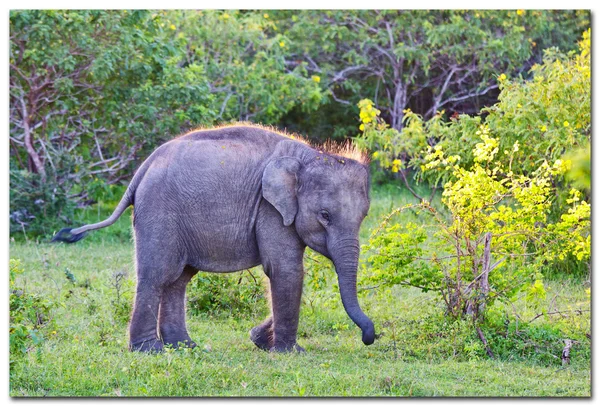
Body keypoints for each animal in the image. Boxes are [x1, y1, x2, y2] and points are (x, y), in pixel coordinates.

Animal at [55, 123, 376, 352]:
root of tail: (142, 170)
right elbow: (286, 269)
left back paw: (186, 347)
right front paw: (289, 352)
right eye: (325, 216)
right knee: (157, 275)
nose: (368, 338)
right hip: (159, 212)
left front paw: (260, 340)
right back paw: (150, 351)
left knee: (178, 279)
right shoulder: (269, 209)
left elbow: (288, 273)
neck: (310, 155)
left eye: (364, 217)